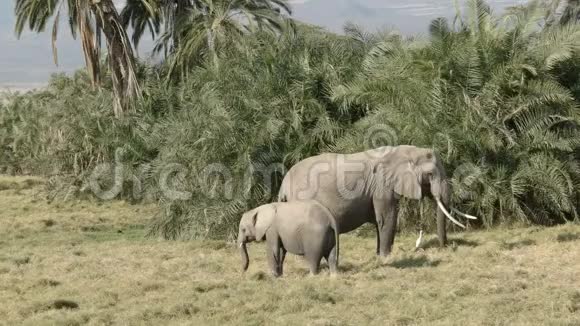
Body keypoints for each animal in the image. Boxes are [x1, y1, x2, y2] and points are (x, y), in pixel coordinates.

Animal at [278, 146, 478, 258]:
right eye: (430, 174)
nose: (447, 247)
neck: (405, 151)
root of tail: (283, 185)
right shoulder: (382, 185)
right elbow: (387, 218)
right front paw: (386, 257)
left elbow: (378, 220)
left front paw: (378, 255)